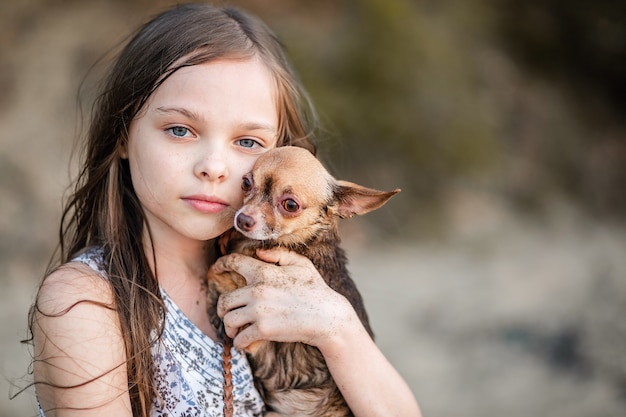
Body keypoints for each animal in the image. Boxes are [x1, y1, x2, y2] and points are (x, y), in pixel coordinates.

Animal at [207, 145, 398, 414]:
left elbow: (215, 272)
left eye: (290, 204)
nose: (242, 219)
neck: (303, 240)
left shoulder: (251, 331)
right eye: (246, 183)